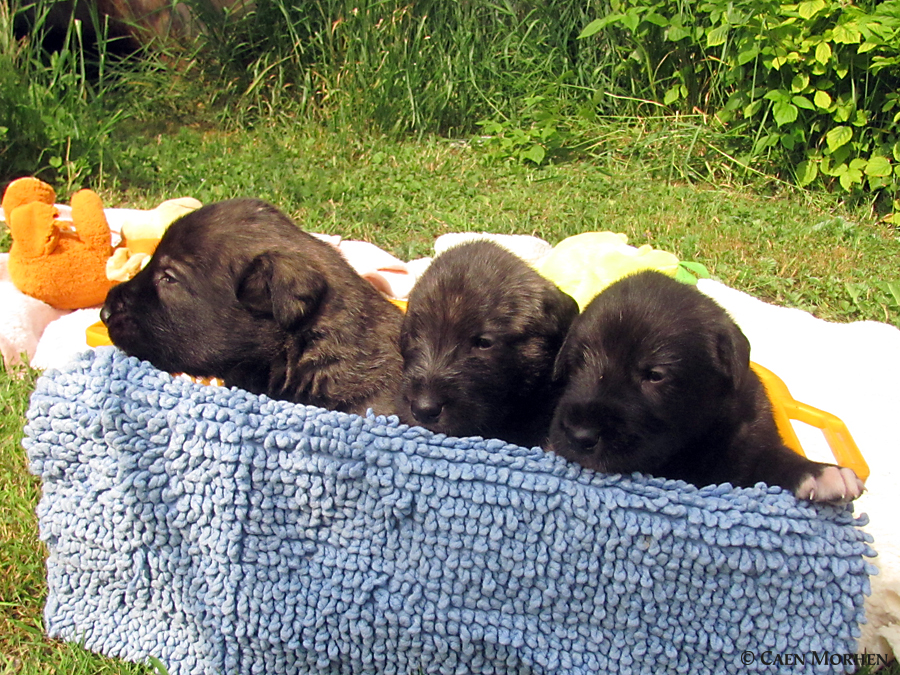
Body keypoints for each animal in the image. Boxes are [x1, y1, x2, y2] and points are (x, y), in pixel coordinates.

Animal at [544, 270, 868, 502]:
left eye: (655, 375)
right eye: (577, 361)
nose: (579, 435)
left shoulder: (750, 443)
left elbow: (770, 460)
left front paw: (821, 473)